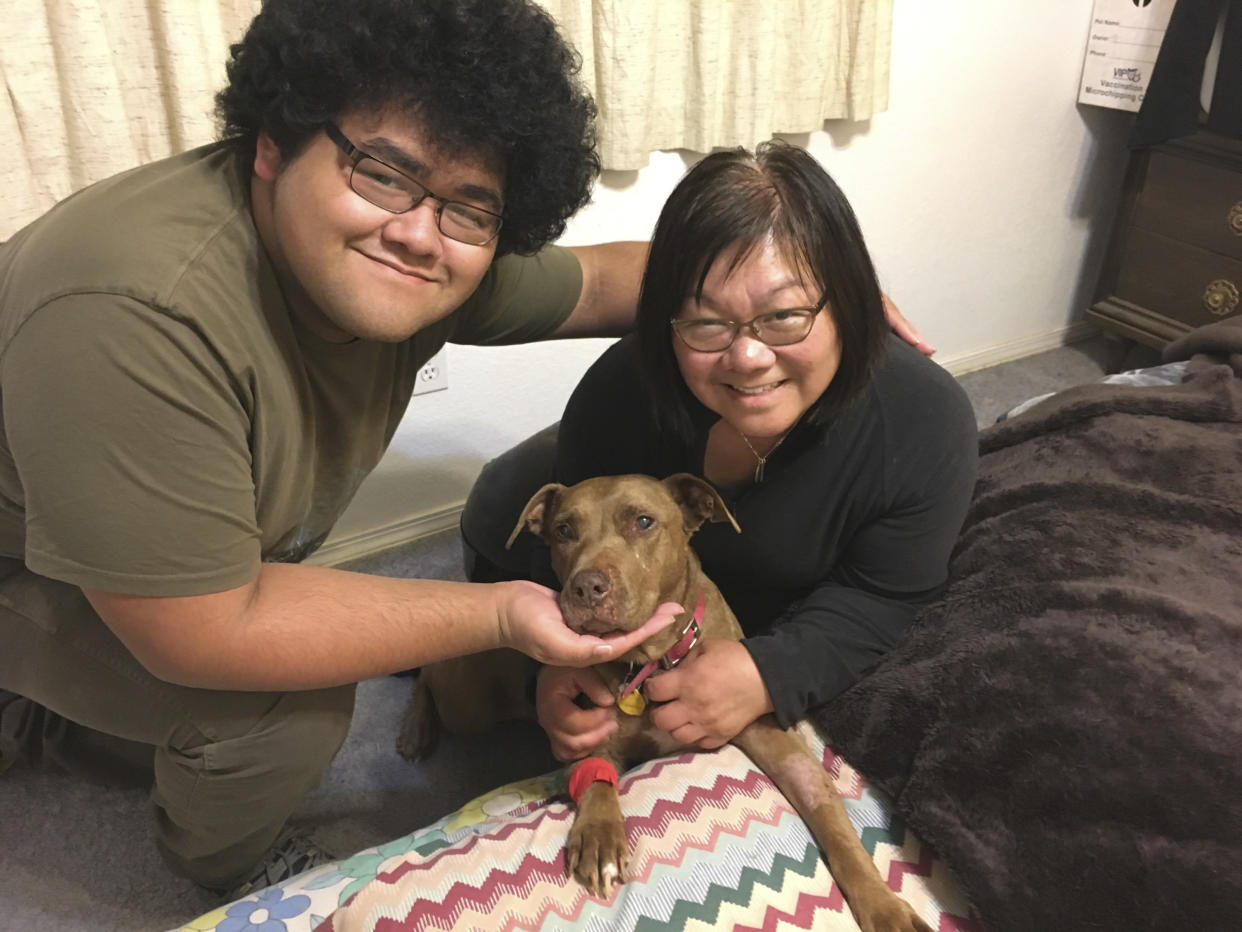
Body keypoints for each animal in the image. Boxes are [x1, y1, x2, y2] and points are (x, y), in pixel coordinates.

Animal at [407, 477, 933, 929]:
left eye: (643, 522)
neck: (653, 661)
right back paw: (414, 729)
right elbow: (597, 783)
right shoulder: (589, 730)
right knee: (427, 675)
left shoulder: (763, 729)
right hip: (470, 699)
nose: (586, 587)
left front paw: (883, 904)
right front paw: (600, 837)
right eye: (564, 530)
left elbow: (826, 811)